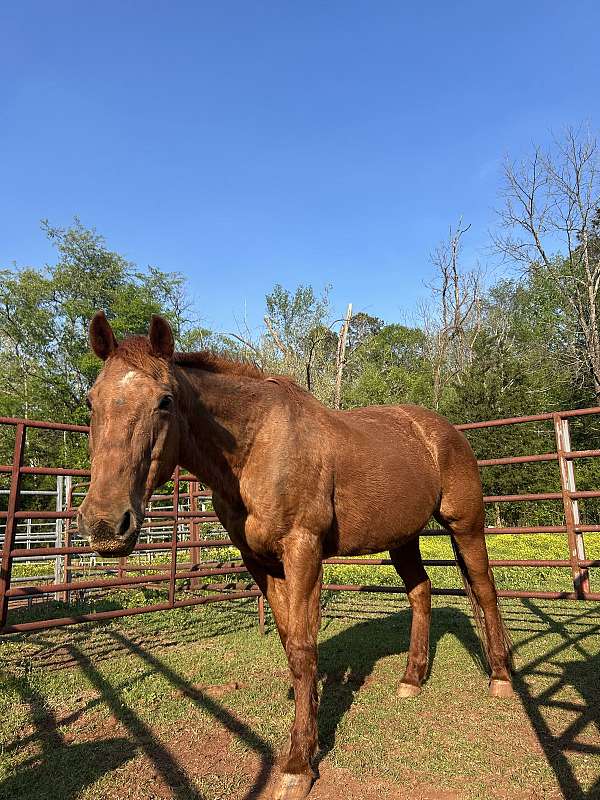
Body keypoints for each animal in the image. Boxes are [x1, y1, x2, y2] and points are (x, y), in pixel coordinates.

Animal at [78, 311, 513, 800]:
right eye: (92, 403)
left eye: (165, 401)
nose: (104, 524)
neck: (256, 446)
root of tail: (443, 431)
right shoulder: (260, 562)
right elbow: (290, 643)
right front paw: (309, 731)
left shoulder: (302, 550)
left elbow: (304, 649)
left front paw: (298, 764)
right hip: (403, 538)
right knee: (421, 592)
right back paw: (411, 679)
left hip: (466, 526)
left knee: (485, 591)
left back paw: (500, 679)